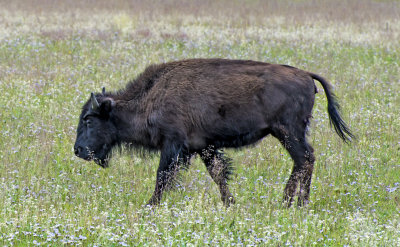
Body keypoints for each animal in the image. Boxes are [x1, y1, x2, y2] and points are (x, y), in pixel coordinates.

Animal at [72, 58, 354, 206]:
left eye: (88, 119)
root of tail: (306, 75)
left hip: (287, 132)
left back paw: (290, 202)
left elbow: (162, 177)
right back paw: (297, 202)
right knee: (305, 160)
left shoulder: (173, 146)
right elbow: (218, 173)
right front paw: (230, 203)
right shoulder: (203, 147)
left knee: (304, 159)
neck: (151, 97)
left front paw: (151, 205)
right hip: (291, 133)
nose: (77, 150)